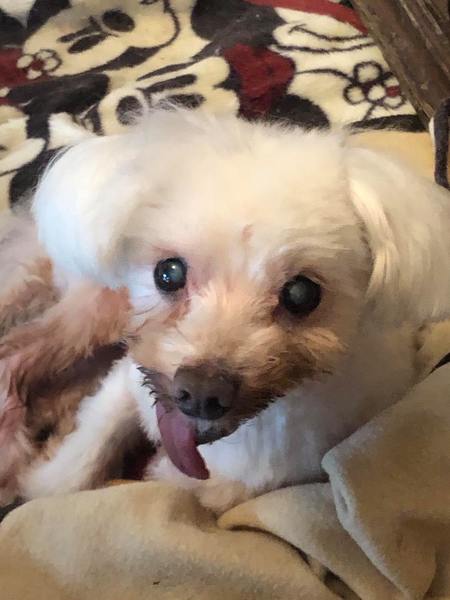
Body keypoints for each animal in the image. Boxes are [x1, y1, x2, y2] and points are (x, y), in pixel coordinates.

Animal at [1, 109, 450, 512]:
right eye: (168, 273)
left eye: (302, 294)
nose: (201, 394)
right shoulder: (130, 381)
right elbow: (81, 458)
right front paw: (47, 478)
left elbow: (197, 487)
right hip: (102, 307)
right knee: (17, 354)